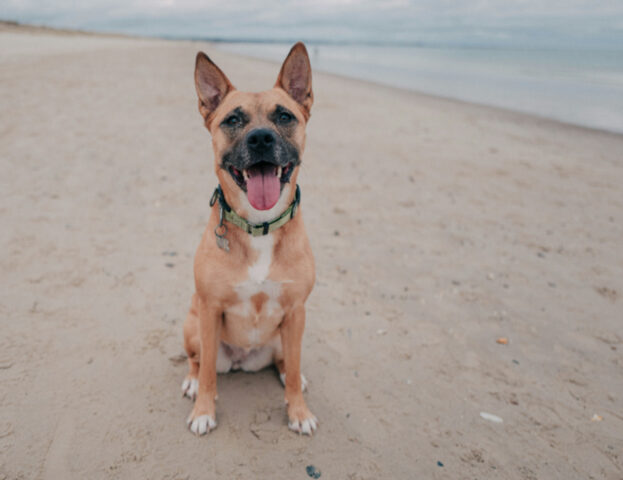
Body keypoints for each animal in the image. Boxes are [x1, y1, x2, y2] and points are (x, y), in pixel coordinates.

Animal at [179, 43, 316, 436]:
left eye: (284, 116)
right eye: (232, 120)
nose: (261, 138)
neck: (259, 227)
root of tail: (243, 360)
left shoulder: (297, 310)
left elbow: (293, 371)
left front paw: (298, 412)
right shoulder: (209, 310)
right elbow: (208, 373)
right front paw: (204, 410)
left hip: (286, 336)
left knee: (287, 364)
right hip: (193, 324)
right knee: (199, 361)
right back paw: (192, 381)